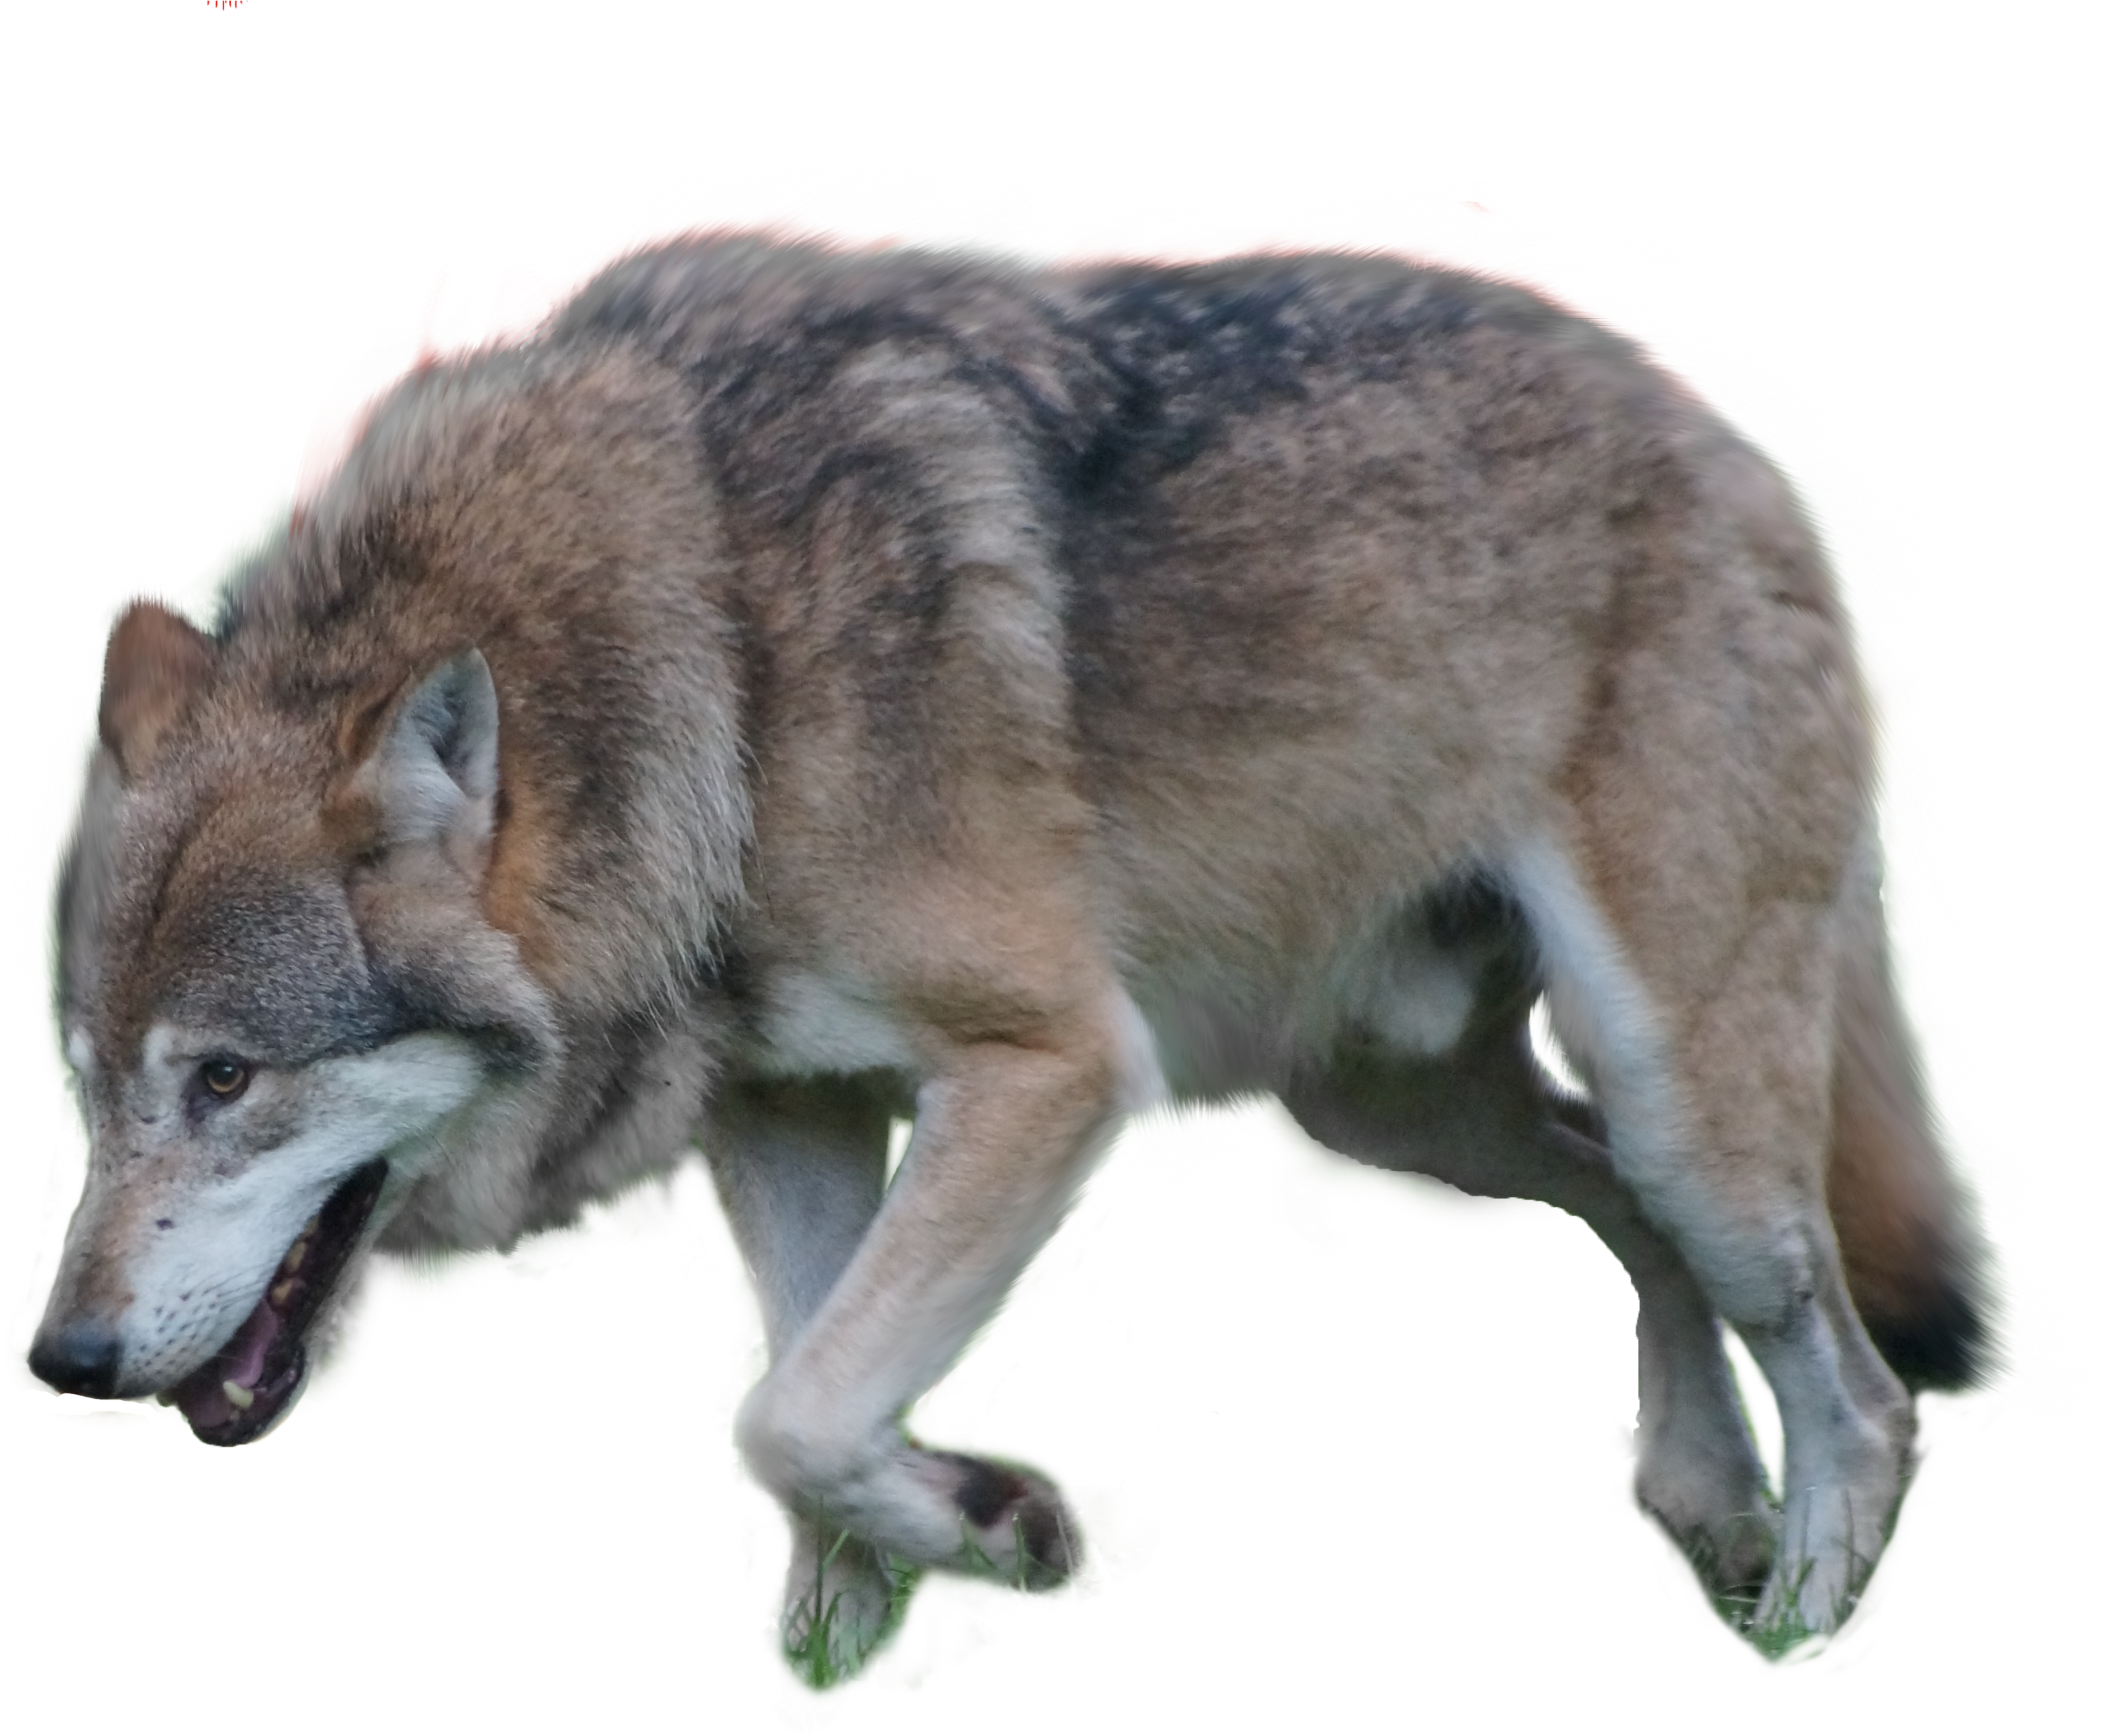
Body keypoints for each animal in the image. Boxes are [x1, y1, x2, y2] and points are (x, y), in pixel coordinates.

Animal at [13, 150, 2089, 1704]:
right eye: (96, 1091)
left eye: (227, 1079)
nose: (66, 1363)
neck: (707, 672)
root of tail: (1761, 458)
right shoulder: (790, 1115)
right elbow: (799, 1436)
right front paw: (835, 1675)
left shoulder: (1047, 1068)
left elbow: (793, 1423)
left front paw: (998, 1527)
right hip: (1401, 1113)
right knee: (1632, 1225)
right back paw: (1703, 1505)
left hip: (1670, 1097)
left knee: (1861, 1395)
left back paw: (1796, 1629)